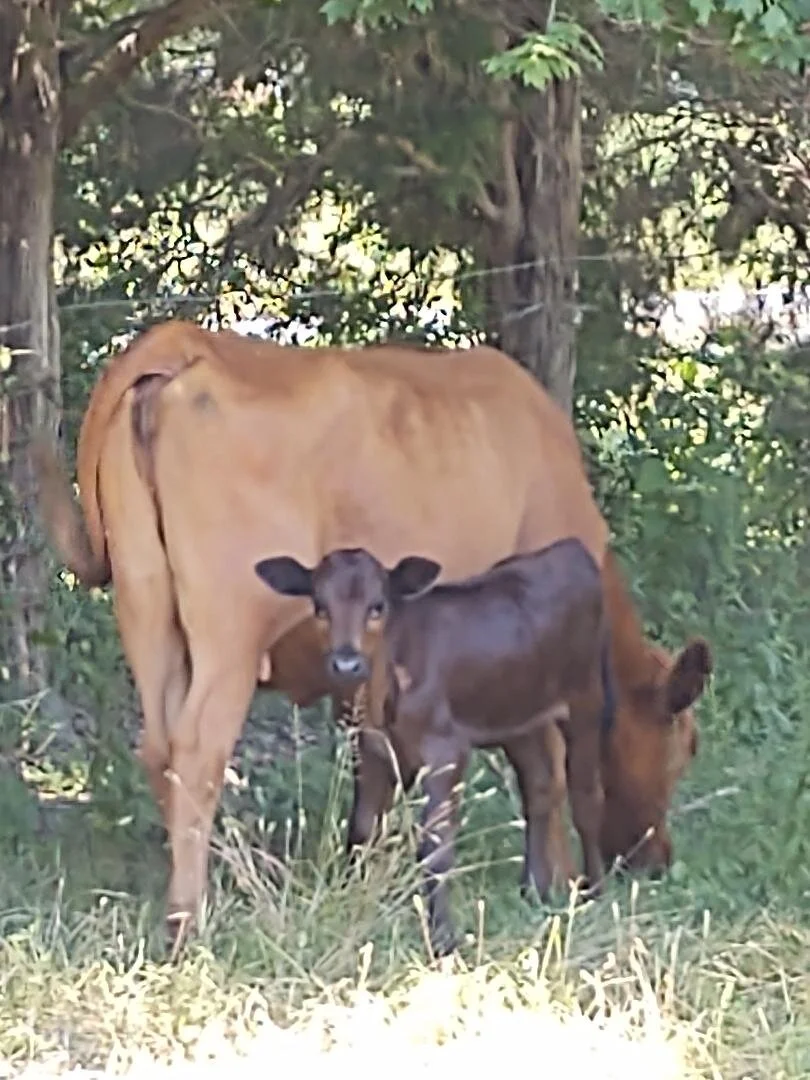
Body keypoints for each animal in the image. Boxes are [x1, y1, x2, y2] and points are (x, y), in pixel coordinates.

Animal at [254, 540, 615, 955]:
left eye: (377, 606)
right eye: (319, 607)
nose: (346, 663)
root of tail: (569, 548)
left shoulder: (446, 750)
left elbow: (435, 845)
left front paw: (443, 937)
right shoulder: (369, 748)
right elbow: (363, 829)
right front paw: (353, 897)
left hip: (585, 699)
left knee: (587, 796)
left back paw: (595, 891)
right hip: (519, 716)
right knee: (540, 787)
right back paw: (534, 890)